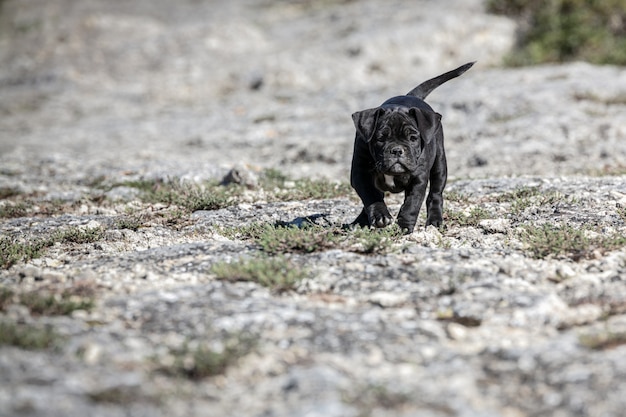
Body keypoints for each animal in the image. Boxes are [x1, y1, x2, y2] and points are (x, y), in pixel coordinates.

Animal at [352, 61, 472, 232]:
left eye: (413, 138)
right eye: (380, 138)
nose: (396, 150)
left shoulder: (418, 177)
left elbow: (412, 203)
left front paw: (405, 225)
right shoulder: (360, 173)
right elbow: (370, 195)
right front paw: (380, 216)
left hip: (440, 164)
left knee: (435, 194)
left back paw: (435, 220)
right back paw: (359, 221)